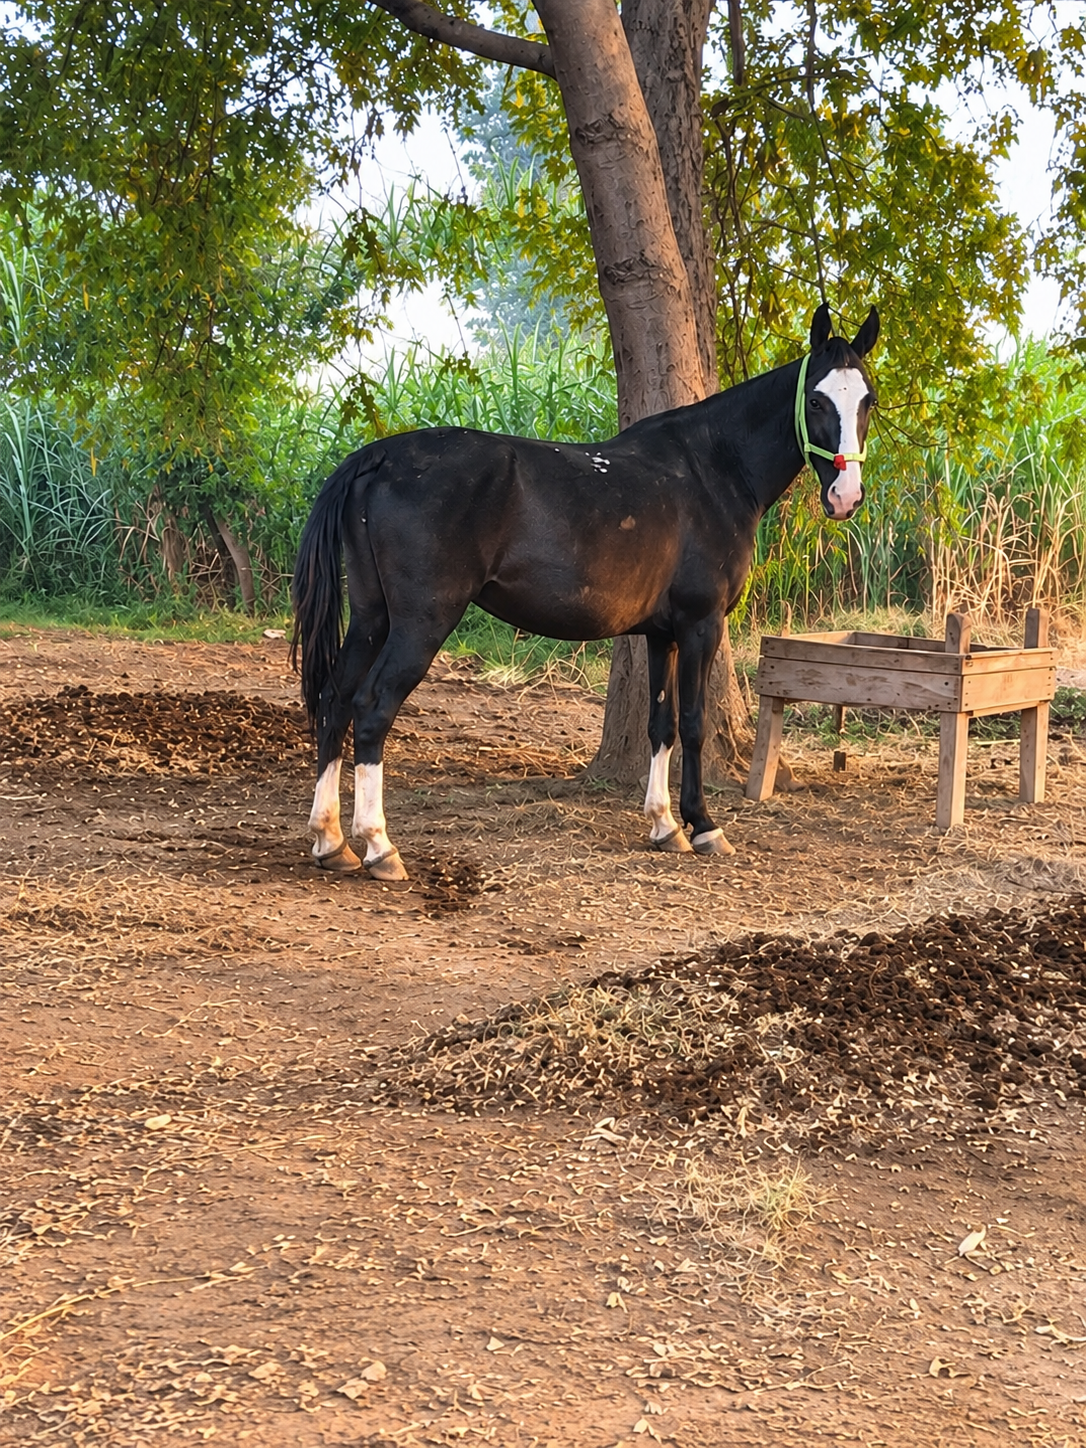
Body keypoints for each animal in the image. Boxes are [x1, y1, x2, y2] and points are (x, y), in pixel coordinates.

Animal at [291, 302, 879, 881]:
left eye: (867, 399)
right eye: (817, 399)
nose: (846, 497)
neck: (712, 470)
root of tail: (380, 457)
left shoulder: (662, 635)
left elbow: (661, 724)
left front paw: (664, 825)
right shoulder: (701, 624)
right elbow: (693, 723)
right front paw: (704, 826)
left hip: (372, 617)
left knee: (335, 701)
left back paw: (331, 841)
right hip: (421, 623)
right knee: (372, 707)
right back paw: (379, 846)